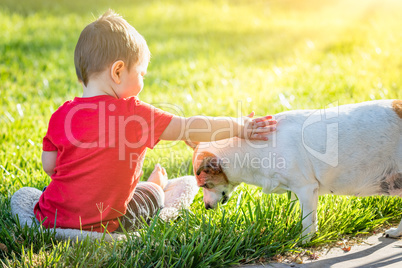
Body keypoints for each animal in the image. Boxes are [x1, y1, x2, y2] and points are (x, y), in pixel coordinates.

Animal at [188, 100, 402, 239]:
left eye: (205, 185)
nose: (206, 207)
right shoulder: (293, 191)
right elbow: (295, 211)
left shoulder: (306, 189)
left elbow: (308, 221)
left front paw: (304, 241)